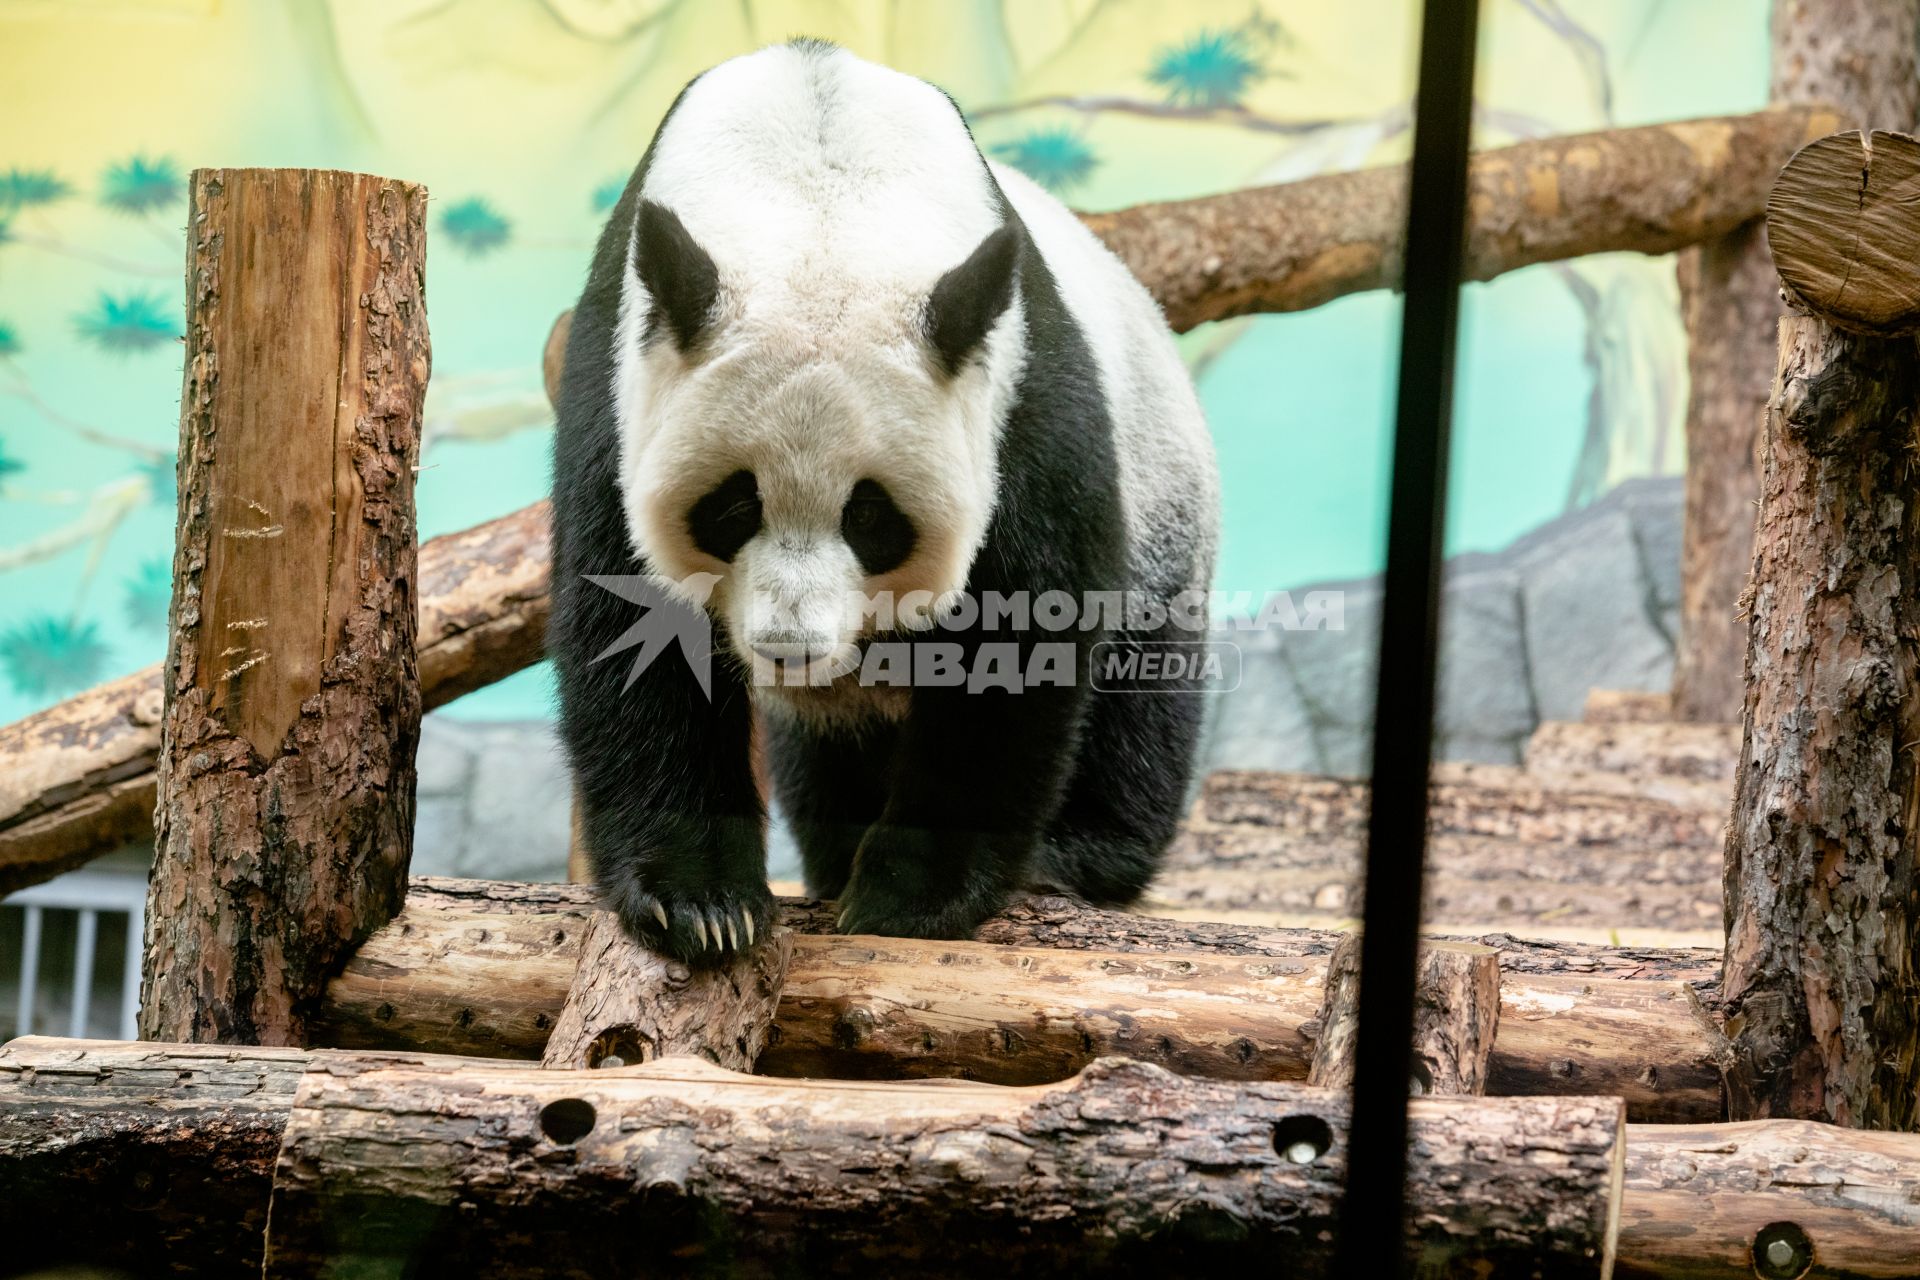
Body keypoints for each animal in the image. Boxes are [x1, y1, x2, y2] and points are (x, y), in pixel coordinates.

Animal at [549, 40, 1221, 959]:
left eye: (870, 518)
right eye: (734, 507)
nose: (790, 646)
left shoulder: (1016, 397)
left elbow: (1020, 631)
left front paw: (914, 895)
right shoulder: (619, 382)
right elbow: (632, 622)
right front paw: (699, 903)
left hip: (1162, 478)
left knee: (1141, 683)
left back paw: (1075, 853)